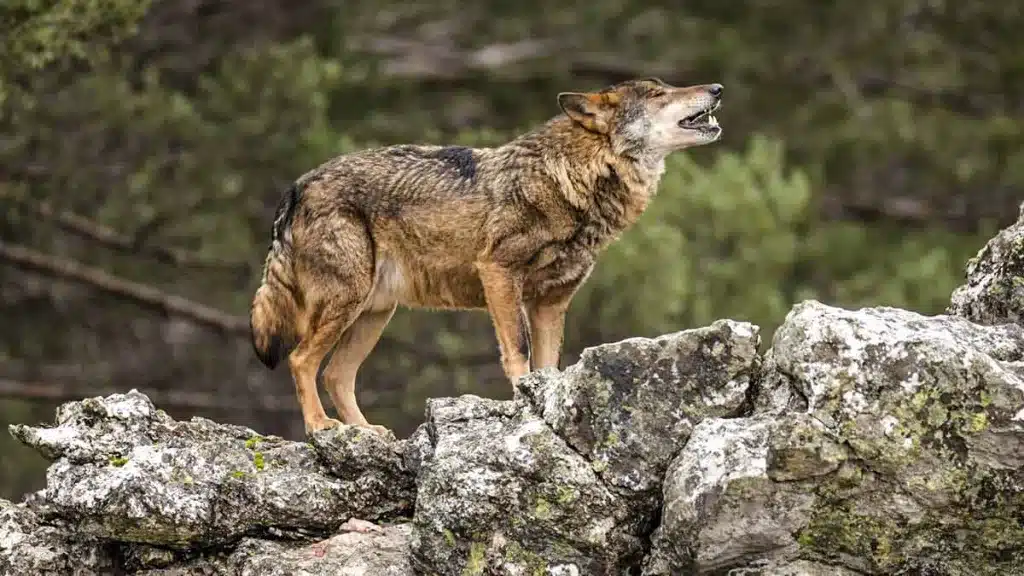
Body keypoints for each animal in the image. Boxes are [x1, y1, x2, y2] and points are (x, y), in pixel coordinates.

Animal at [250, 77, 724, 435]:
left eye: (668, 87)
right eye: (658, 93)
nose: (717, 87)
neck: (571, 179)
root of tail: (297, 186)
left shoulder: (551, 304)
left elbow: (548, 366)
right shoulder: (499, 273)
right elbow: (518, 350)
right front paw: (523, 406)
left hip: (374, 314)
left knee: (335, 374)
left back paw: (367, 433)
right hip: (347, 303)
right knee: (301, 360)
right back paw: (319, 426)